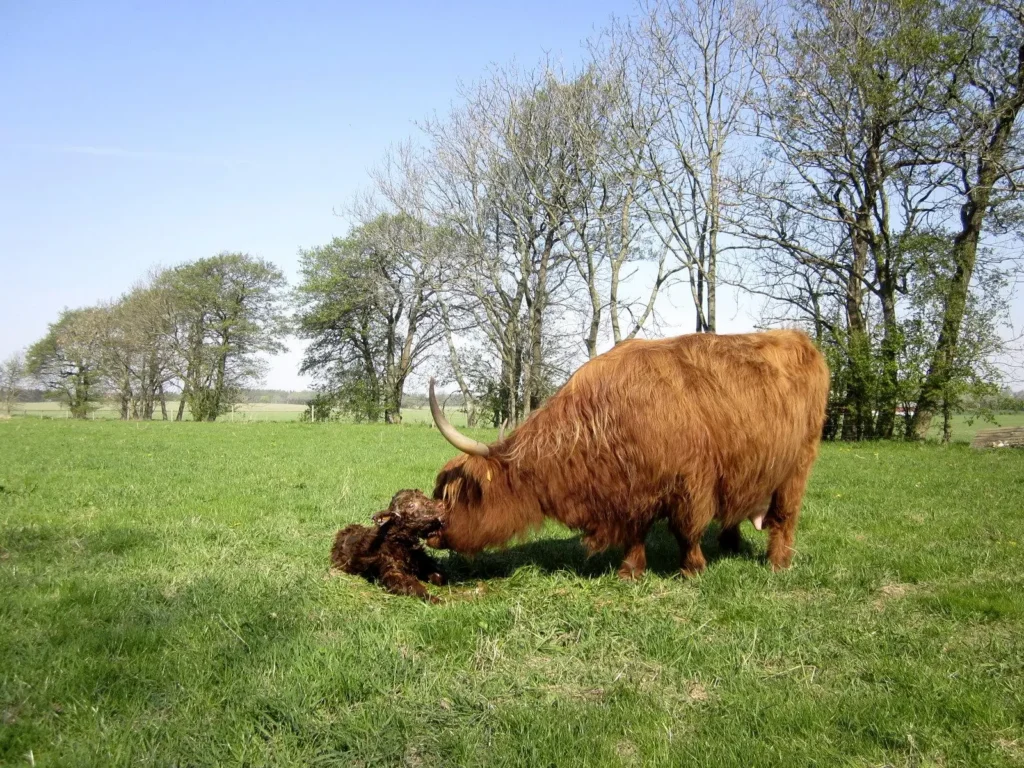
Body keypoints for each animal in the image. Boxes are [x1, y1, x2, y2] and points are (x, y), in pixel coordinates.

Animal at [426, 330, 829, 578]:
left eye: (463, 495)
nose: (432, 532)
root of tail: (799, 338)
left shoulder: (692, 481)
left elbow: (686, 530)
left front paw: (692, 569)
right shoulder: (634, 491)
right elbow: (636, 532)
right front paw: (630, 570)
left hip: (797, 465)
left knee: (785, 517)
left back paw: (778, 562)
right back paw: (730, 542)